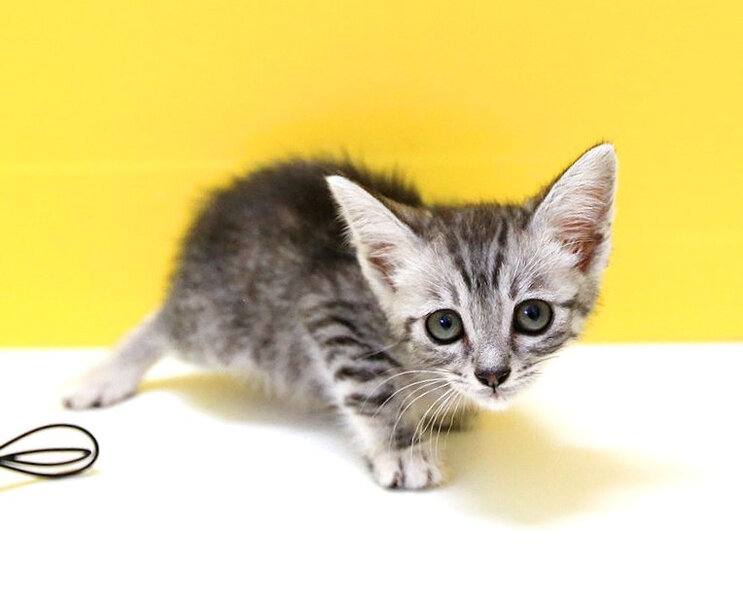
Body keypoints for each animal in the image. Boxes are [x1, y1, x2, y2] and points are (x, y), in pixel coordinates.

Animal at [64, 143, 617, 490]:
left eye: (532, 315)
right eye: (444, 325)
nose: (493, 375)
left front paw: (448, 408)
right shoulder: (329, 308)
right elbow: (372, 386)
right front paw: (401, 448)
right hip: (224, 325)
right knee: (165, 322)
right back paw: (104, 376)